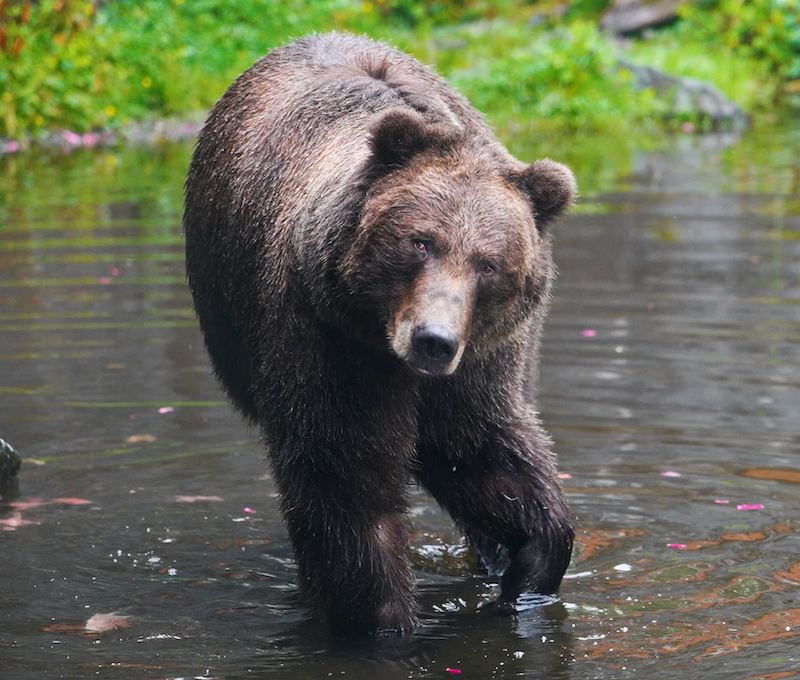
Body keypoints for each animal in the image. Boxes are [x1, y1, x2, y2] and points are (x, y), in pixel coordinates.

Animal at [183, 31, 576, 636]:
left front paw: (529, 565)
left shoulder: (477, 365)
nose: (433, 340)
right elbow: (347, 482)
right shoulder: (328, 339)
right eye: (420, 241)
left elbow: (481, 451)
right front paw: (381, 617)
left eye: (489, 265)